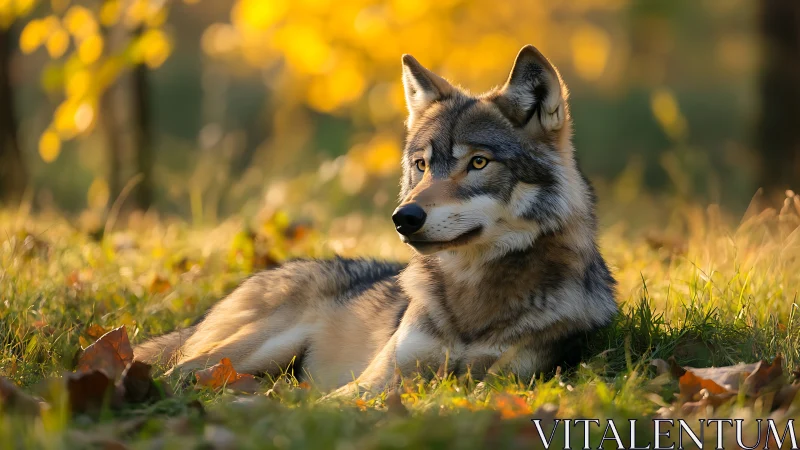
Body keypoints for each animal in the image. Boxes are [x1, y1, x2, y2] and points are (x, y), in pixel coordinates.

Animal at [134, 45, 617, 395]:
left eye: (478, 162)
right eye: (422, 165)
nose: (404, 218)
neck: (471, 295)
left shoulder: (504, 379)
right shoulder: (379, 377)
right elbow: (346, 400)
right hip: (252, 348)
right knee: (178, 370)